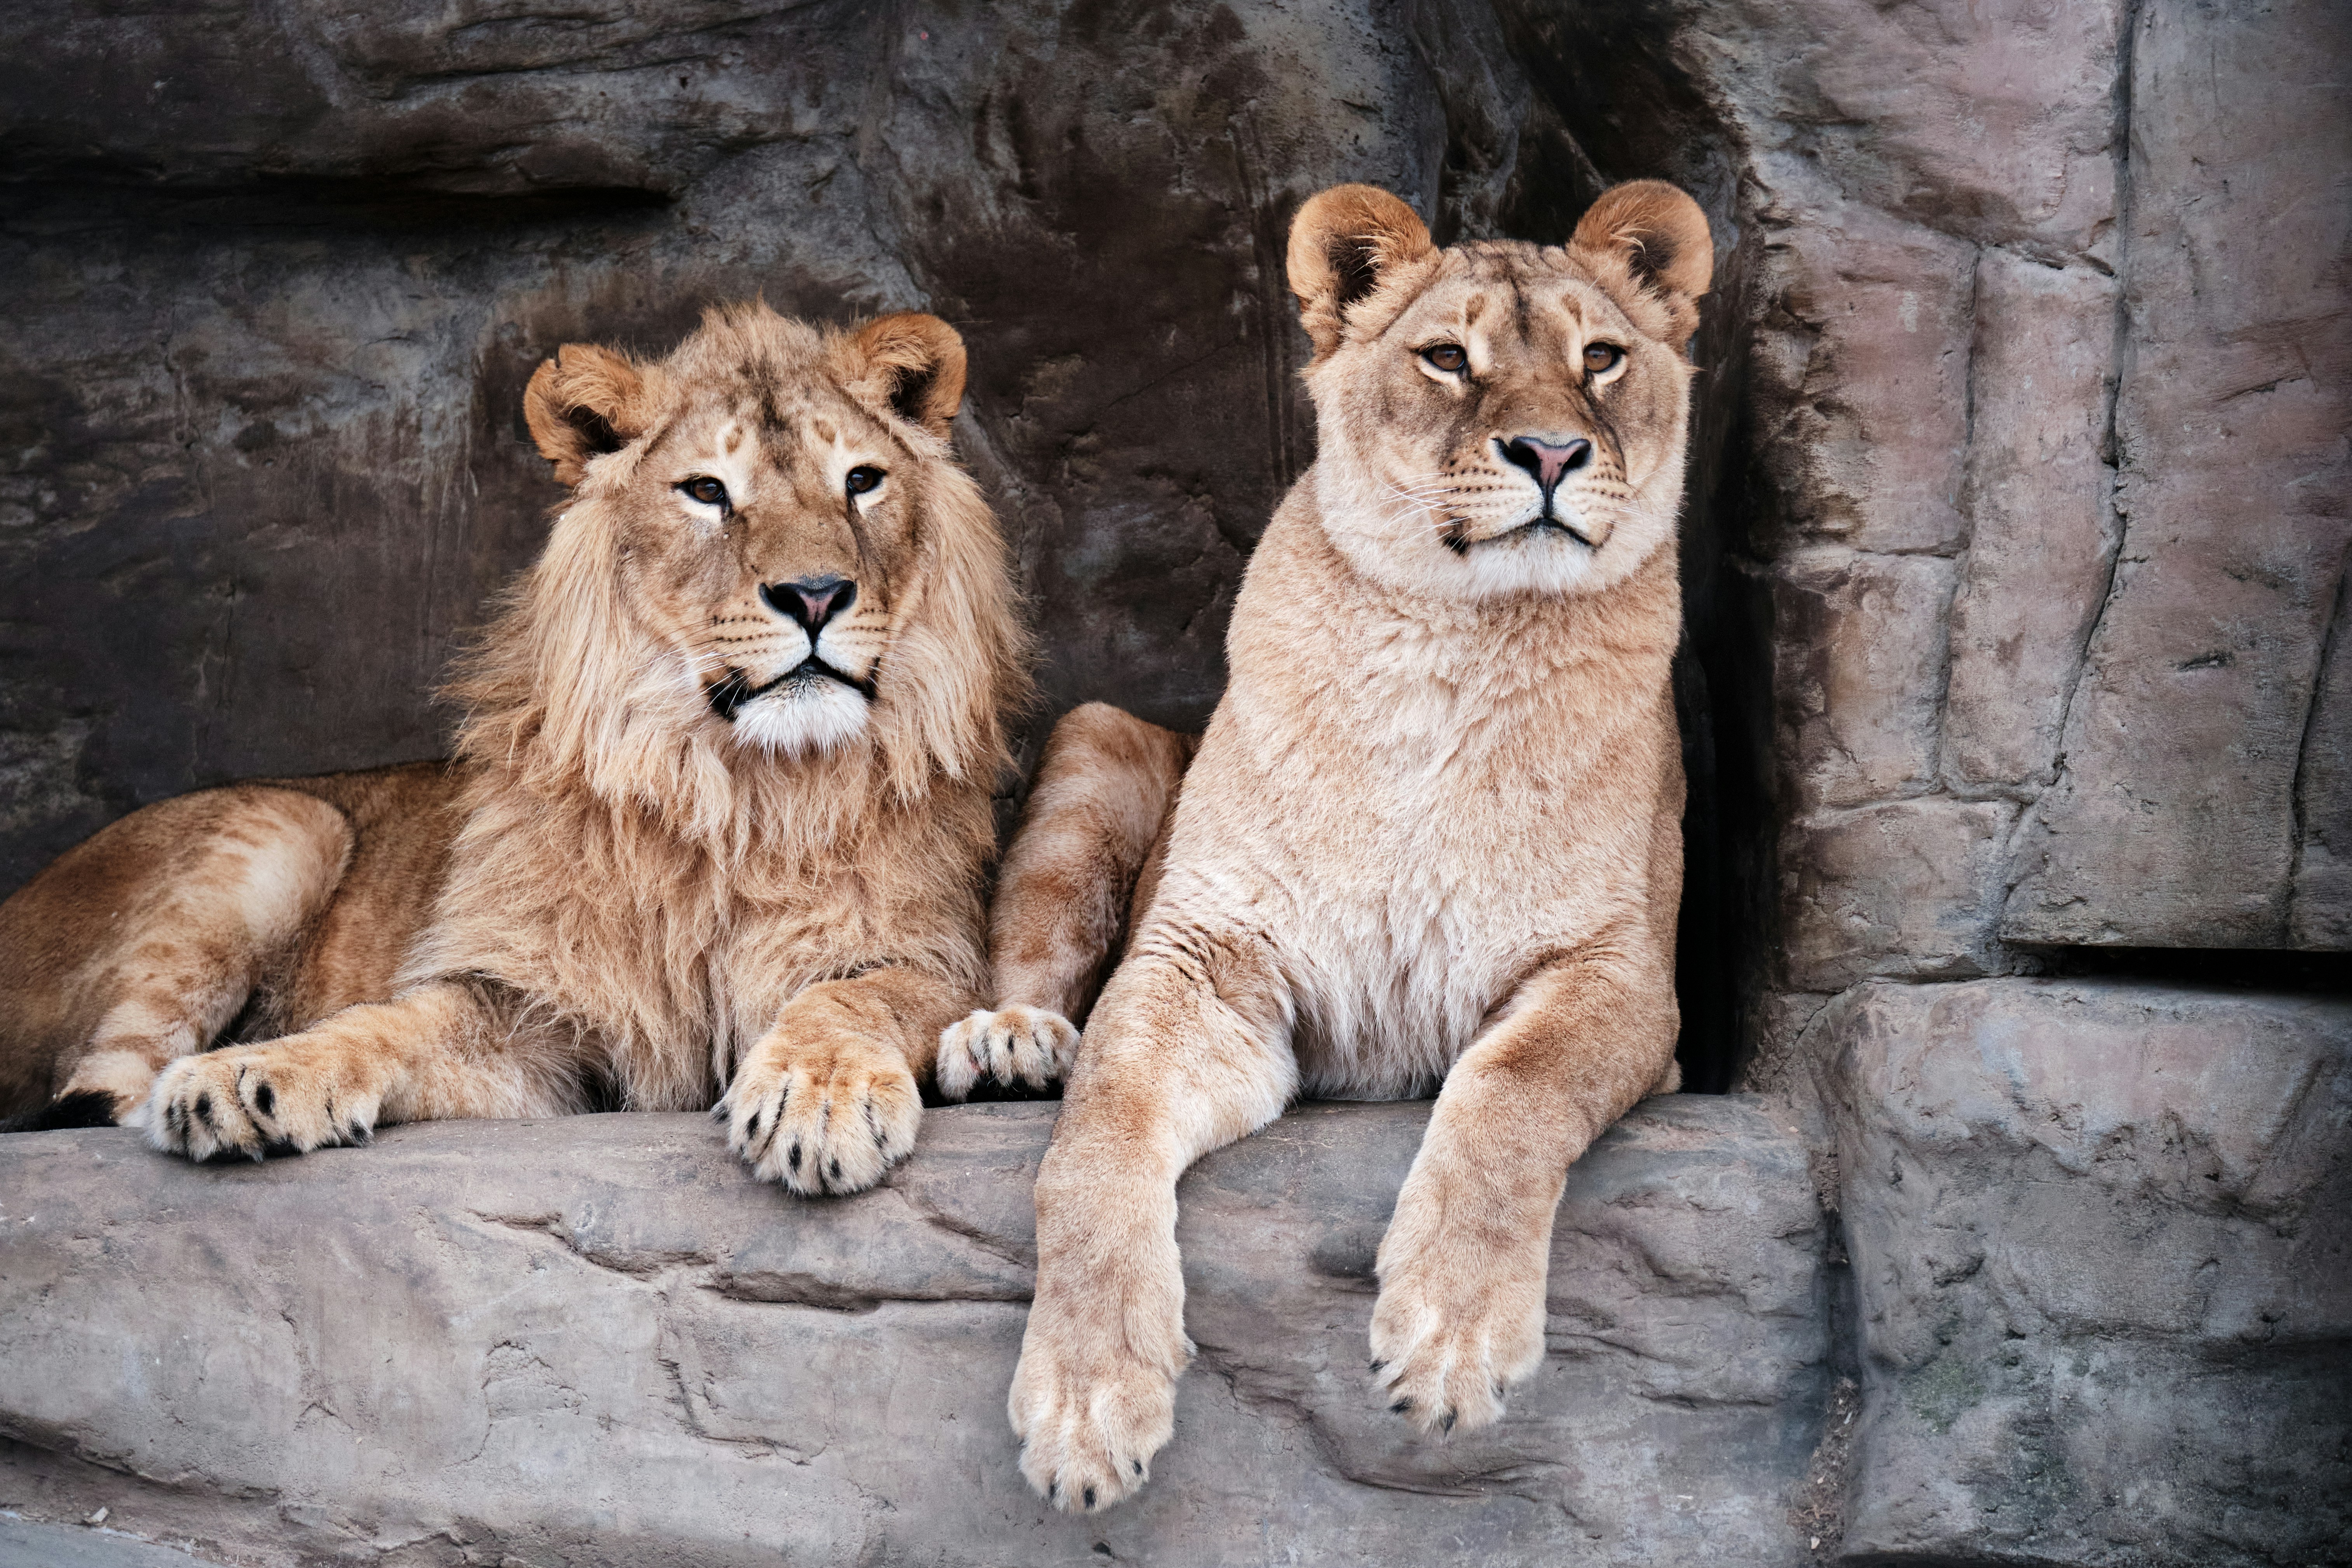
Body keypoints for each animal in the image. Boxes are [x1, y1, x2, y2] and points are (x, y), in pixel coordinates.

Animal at [0, 301, 1047, 1194]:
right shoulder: (541, 1013)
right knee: (95, 1085)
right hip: (288, 820)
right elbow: (387, 1023)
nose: (817, 594)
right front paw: (245, 1075)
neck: (737, 787)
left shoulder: (937, 959)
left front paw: (816, 1099)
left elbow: (851, 998)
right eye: (707, 492)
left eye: (862, 481)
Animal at [944, 179, 1712, 1510]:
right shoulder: (1205, 964)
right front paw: (1086, 1401)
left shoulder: (1622, 978)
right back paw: (1012, 1041)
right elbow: (1093, 1139)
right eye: (1447, 358)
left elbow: (1510, 1092)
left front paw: (1448, 1342)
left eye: (1600, 360)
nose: (1551, 453)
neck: (1452, 646)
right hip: (1097, 744)